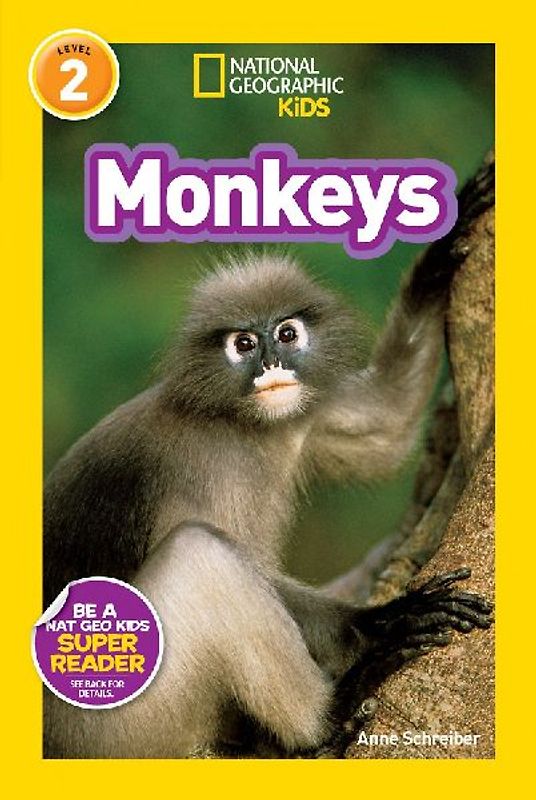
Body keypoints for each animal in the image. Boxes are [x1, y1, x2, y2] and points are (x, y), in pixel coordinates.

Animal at [43, 163, 494, 759]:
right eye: (243, 344)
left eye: (285, 333)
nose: (272, 365)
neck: (243, 427)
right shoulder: (206, 473)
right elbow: (249, 568)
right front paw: (381, 623)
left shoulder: (302, 416)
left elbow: (386, 424)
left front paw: (442, 250)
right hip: (119, 728)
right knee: (201, 556)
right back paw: (325, 719)